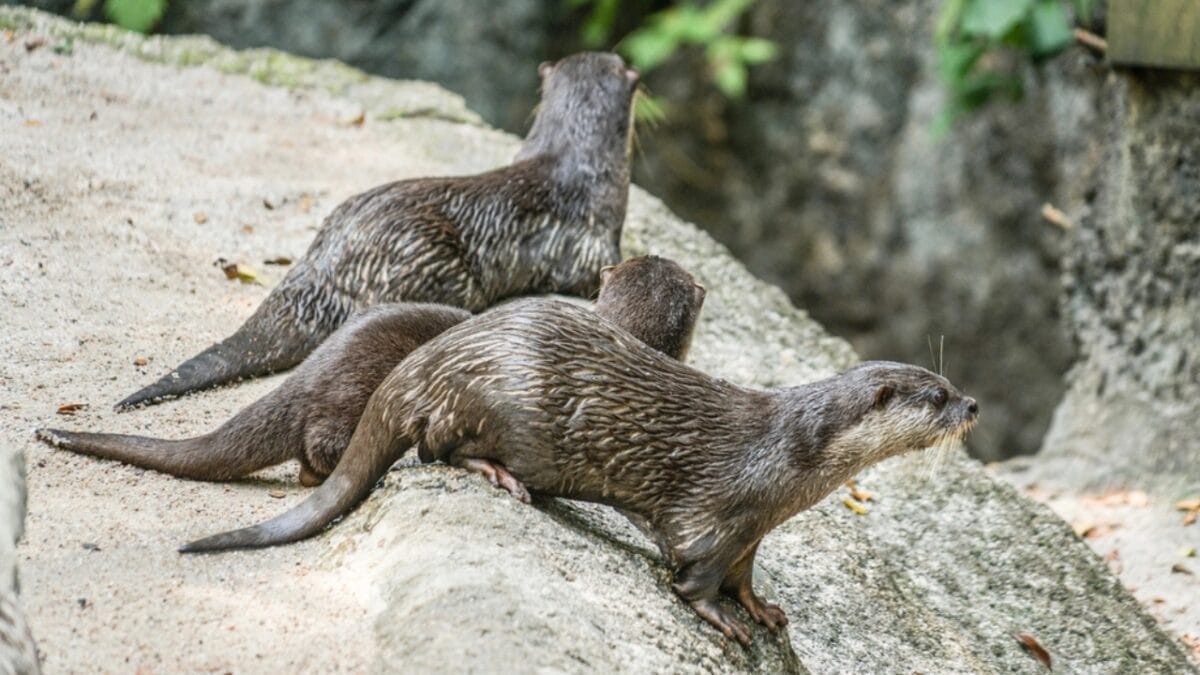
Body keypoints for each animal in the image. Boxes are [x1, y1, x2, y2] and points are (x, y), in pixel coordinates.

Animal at [179, 300, 978, 646]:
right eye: (935, 396)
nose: (972, 402)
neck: (793, 456)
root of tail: (425, 365)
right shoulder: (718, 513)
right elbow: (693, 576)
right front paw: (721, 617)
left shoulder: (753, 530)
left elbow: (747, 574)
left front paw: (763, 609)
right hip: (497, 401)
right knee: (438, 447)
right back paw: (501, 476)